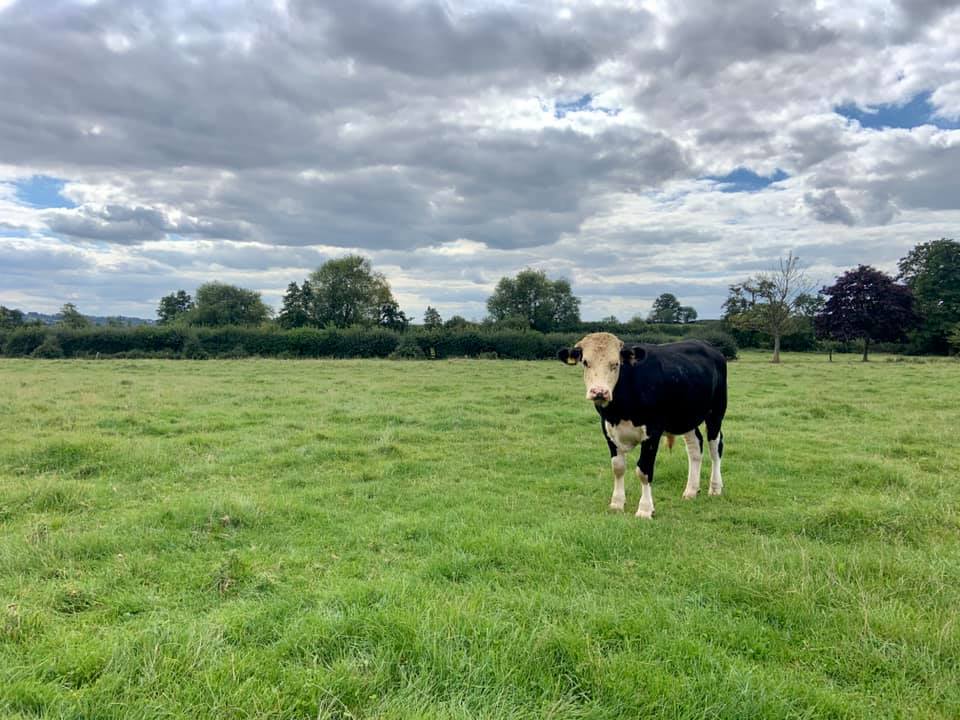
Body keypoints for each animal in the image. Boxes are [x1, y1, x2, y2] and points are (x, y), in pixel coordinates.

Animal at [557, 332, 727, 519]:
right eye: (586, 362)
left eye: (616, 364)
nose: (599, 392)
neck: (620, 410)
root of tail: (709, 347)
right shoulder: (608, 430)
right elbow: (618, 467)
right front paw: (617, 503)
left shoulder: (652, 432)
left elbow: (644, 471)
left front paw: (645, 509)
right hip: (686, 417)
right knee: (695, 447)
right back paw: (691, 490)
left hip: (716, 413)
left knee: (715, 448)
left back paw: (715, 487)